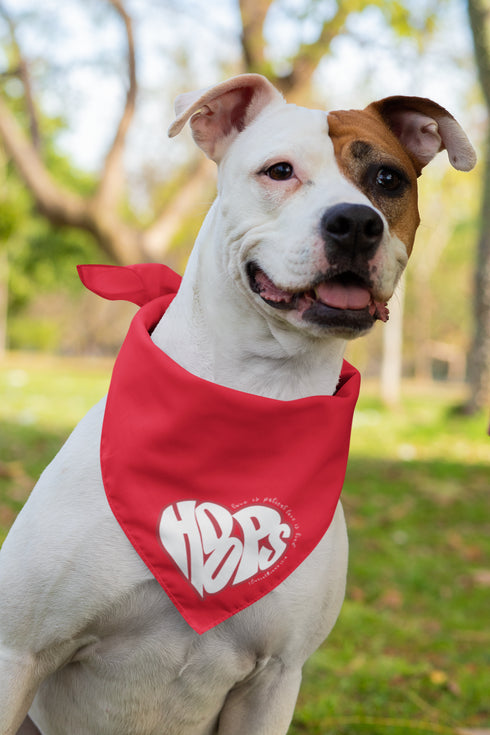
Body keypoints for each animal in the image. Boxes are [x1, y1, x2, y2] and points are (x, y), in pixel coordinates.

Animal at [0, 70, 474, 735]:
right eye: (279, 171)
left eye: (387, 180)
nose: (356, 222)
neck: (254, 395)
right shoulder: (19, 652)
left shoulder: (274, 678)